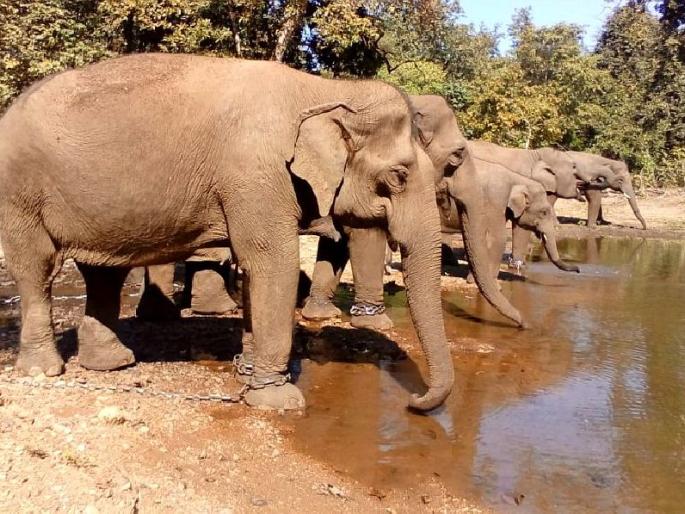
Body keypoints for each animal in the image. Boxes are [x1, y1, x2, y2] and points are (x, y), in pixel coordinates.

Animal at [0, 54, 454, 411]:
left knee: (103, 274)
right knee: (37, 269)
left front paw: (248, 374)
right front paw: (278, 401)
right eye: (398, 176)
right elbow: (273, 263)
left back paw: (113, 363)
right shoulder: (258, 175)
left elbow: (257, 270)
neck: (325, 89)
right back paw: (46, 370)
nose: (416, 402)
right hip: (20, 195)